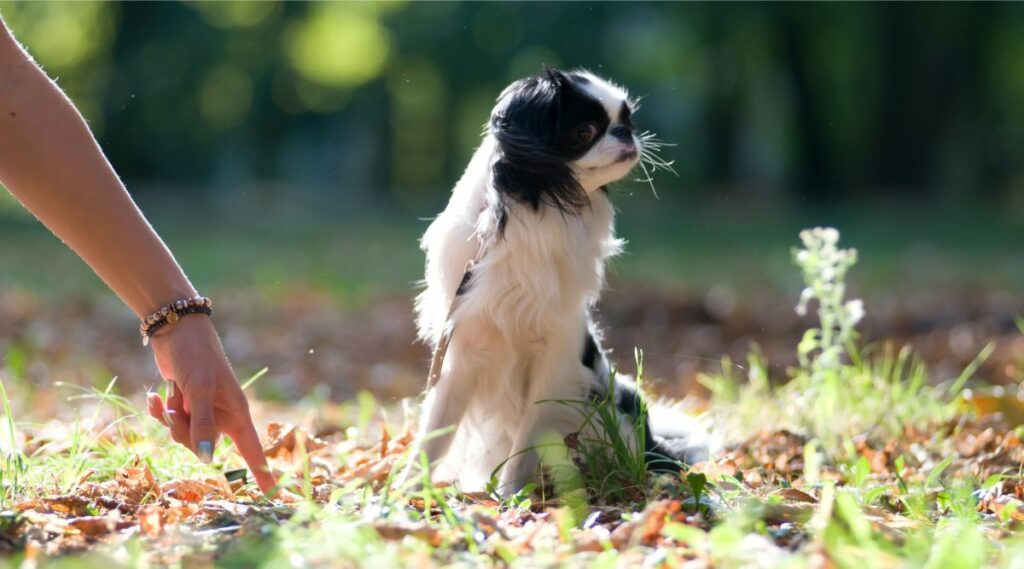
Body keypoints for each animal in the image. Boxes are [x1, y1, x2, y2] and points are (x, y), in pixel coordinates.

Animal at [405, 67, 704, 497]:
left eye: (627, 120)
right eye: (585, 131)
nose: (626, 133)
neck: (537, 208)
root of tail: (656, 444)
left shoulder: (553, 361)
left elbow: (526, 441)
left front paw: (507, 497)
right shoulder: (463, 354)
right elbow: (434, 433)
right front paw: (402, 489)